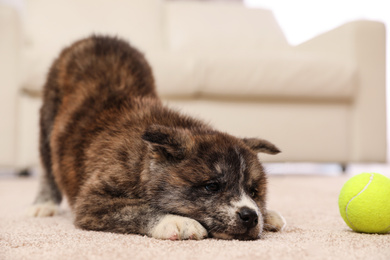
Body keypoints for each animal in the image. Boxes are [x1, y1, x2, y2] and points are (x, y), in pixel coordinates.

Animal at [25, 35, 284, 241]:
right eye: (212, 186)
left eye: (254, 191)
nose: (250, 216)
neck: (144, 164)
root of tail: (97, 37)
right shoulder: (91, 202)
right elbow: (137, 209)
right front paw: (176, 221)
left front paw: (267, 214)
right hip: (47, 119)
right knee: (47, 167)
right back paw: (44, 204)